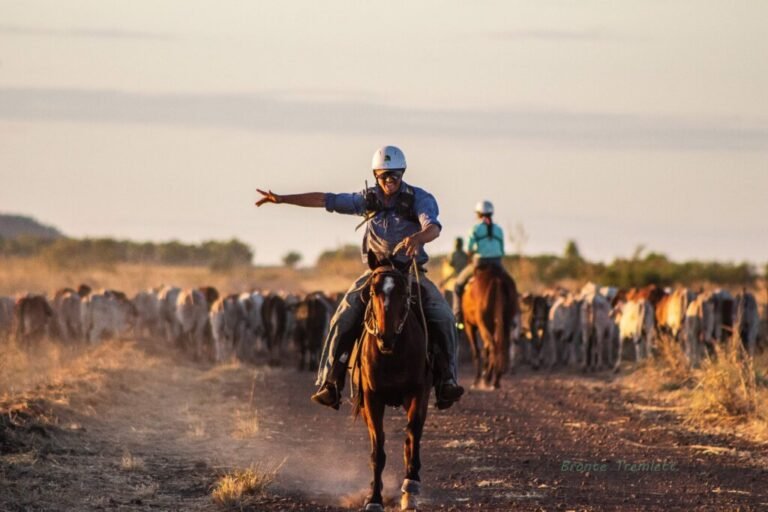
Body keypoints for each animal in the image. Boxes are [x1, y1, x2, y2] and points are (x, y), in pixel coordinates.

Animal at [354, 256, 432, 512]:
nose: (385, 337)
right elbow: (378, 450)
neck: (393, 353)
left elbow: (412, 436)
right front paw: (374, 498)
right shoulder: (372, 399)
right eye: (373, 290)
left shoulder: (418, 392)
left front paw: (411, 487)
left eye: (403, 292)